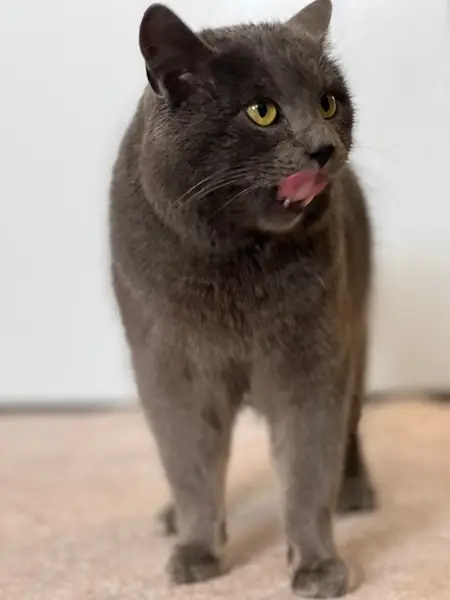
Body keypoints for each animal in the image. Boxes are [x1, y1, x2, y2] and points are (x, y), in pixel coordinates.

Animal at [109, 0, 376, 596]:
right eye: (261, 111)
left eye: (328, 102)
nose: (322, 147)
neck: (236, 266)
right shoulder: (171, 369)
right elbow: (189, 464)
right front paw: (196, 550)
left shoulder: (312, 358)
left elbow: (307, 468)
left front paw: (317, 565)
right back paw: (170, 518)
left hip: (357, 327)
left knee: (349, 426)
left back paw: (354, 490)